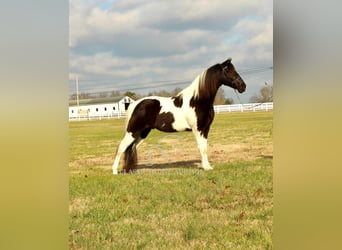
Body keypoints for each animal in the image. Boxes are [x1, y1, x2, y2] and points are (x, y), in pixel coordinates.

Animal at [112, 57, 246, 175]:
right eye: (228, 70)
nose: (243, 86)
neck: (197, 100)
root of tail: (136, 104)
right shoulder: (197, 129)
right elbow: (201, 148)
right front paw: (205, 167)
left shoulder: (205, 129)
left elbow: (205, 147)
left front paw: (208, 166)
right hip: (133, 131)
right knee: (122, 147)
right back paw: (114, 171)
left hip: (142, 133)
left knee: (132, 148)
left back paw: (130, 170)